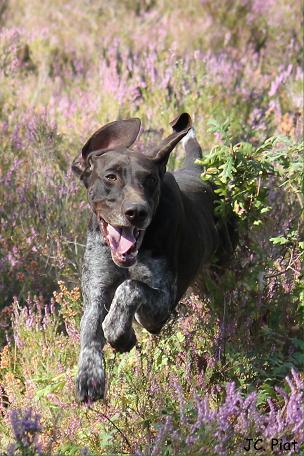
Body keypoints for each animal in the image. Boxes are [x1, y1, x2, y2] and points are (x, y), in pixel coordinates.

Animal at [72, 112, 232, 400]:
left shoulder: (162, 306)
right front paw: (89, 374)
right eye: (110, 177)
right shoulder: (95, 290)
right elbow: (90, 328)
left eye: (150, 181)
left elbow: (130, 289)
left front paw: (122, 333)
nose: (137, 212)